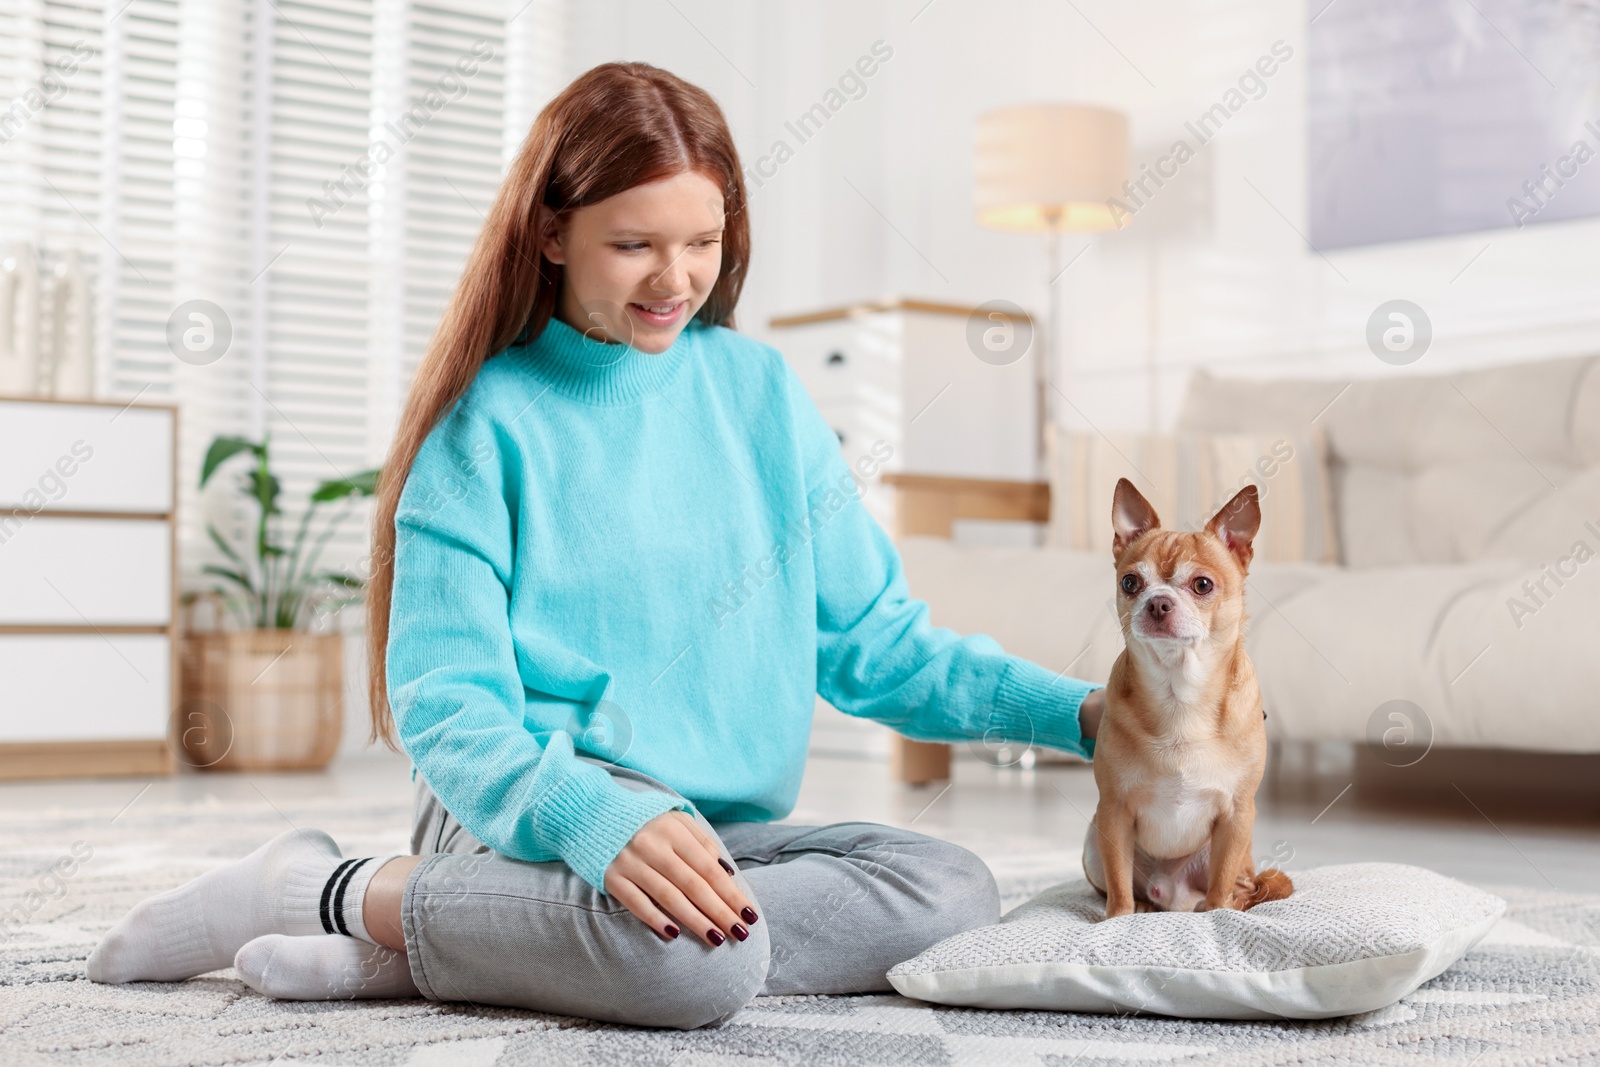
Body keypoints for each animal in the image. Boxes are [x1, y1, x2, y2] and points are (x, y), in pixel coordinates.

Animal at [1081, 476, 1292, 921]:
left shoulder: (1237, 815)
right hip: (1093, 840)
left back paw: (1220, 906)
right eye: (1130, 583)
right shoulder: (1113, 811)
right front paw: (1118, 919)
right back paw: (1144, 905)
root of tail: (1171, 896)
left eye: (1202, 585)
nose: (1158, 602)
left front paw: (1219, 914)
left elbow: (1221, 883)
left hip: (1235, 851)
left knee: (1241, 885)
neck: (1179, 693)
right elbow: (1117, 883)